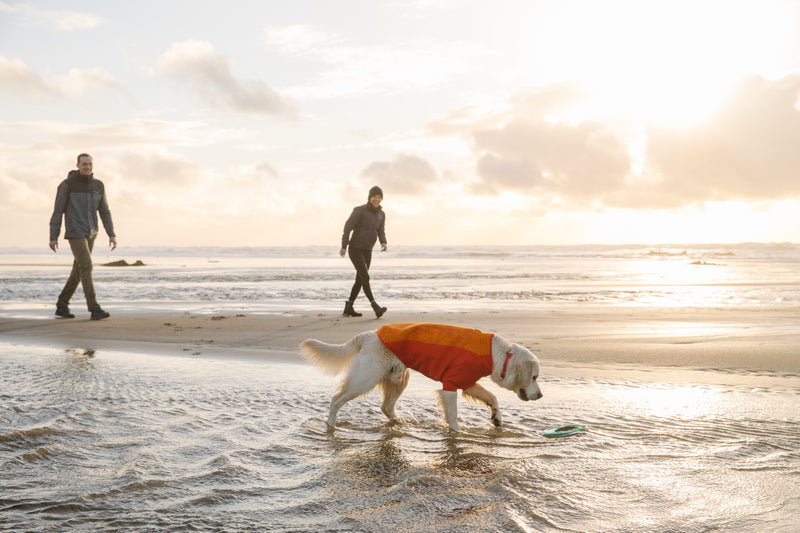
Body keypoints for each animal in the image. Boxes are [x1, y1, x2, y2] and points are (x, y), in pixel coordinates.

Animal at [300, 322, 544, 430]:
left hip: (399, 378)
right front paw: (457, 433)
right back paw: (330, 425)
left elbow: (493, 397)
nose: (541, 396)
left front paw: (497, 417)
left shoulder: (468, 382)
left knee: (386, 407)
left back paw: (399, 422)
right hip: (365, 378)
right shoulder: (450, 384)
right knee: (336, 399)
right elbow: (452, 415)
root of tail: (369, 334)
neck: (497, 354)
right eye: (534, 377)